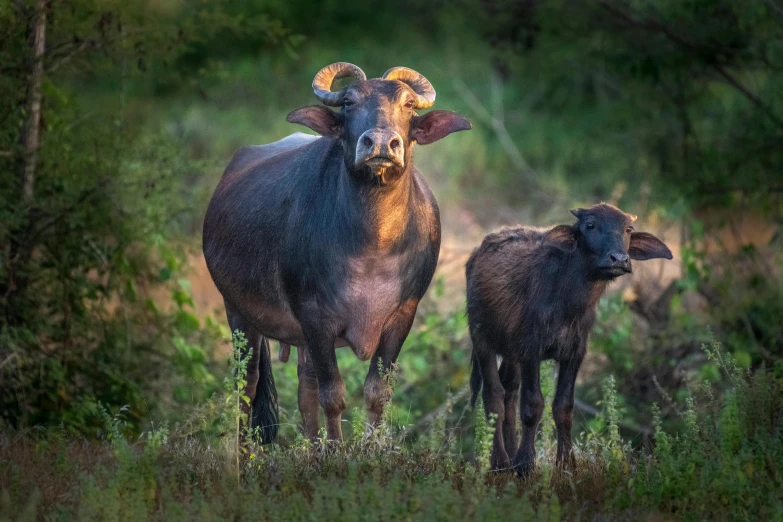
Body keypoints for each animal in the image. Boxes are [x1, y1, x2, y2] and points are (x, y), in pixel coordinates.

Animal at [204, 63, 472, 440]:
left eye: (408, 104)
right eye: (348, 102)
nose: (380, 143)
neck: (374, 244)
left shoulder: (402, 315)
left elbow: (377, 392)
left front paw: (370, 446)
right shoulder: (315, 317)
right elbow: (333, 395)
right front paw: (335, 448)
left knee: (305, 387)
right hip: (238, 311)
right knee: (248, 384)